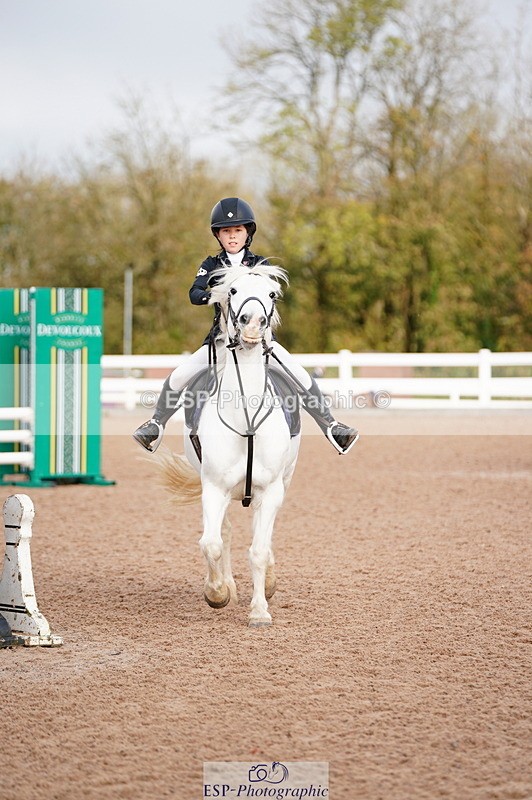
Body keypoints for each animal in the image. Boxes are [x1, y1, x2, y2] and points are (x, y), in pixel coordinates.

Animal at [157, 263, 301, 627]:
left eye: (272, 293)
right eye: (232, 290)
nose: (252, 323)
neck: (245, 416)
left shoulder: (272, 490)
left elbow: (260, 550)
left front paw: (260, 610)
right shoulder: (214, 488)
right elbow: (211, 543)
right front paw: (218, 593)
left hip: (283, 482)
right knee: (226, 531)